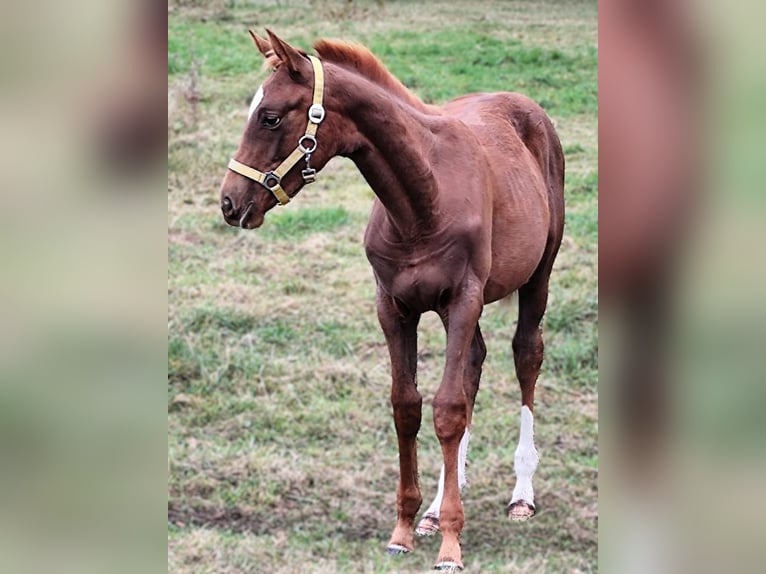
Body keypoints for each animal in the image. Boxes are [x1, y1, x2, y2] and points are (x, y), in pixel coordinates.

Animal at [219, 30, 568, 572]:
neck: (425, 199)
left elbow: (448, 407)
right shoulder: (393, 307)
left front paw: (450, 547)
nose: (230, 203)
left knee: (525, 355)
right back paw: (438, 505)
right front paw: (405, 528)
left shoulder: (463, 299)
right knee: (475, 363)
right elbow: (409, 407)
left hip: (538, 275)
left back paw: (521, 495)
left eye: (270, 116)